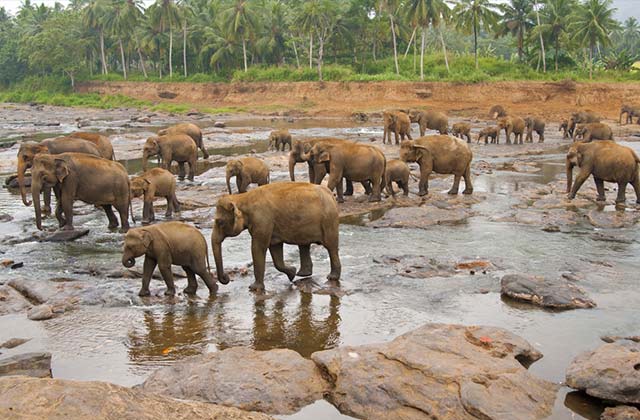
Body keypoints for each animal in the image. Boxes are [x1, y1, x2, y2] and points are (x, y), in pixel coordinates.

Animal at [211, 182, 341, 292]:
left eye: (219, 222)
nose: (226, 278)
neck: (242, 197)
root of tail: (330, 194)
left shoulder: (262, 220)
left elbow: (258, 248)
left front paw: (253, 288)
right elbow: (275, 248)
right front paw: (292, 273)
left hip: (329, 221)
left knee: (331, 247)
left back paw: (332, 277)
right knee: (304, 245)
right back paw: (302, 274)